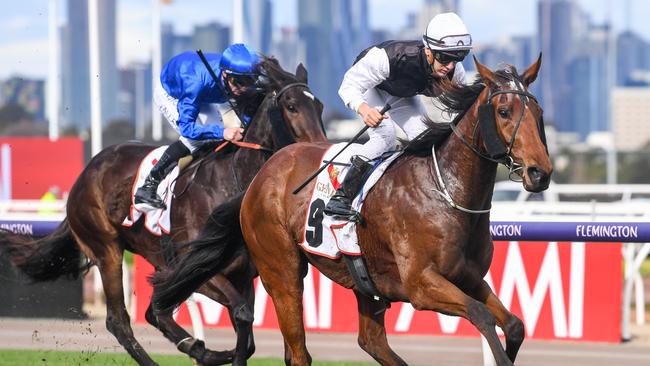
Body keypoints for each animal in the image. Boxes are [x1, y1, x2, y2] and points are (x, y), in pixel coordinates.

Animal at [0, 57, 324, 366]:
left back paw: (196, 347)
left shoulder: (244, 275)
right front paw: (218, 354)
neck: (231, 181)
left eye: (319, 105)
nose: (318, 148)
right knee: (119, 320)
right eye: (292, 106)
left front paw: (216, 352)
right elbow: (242, 314)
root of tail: (85, 174)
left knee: (154, 312)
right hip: (108, 250)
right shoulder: (196, 269)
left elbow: (247, 330)